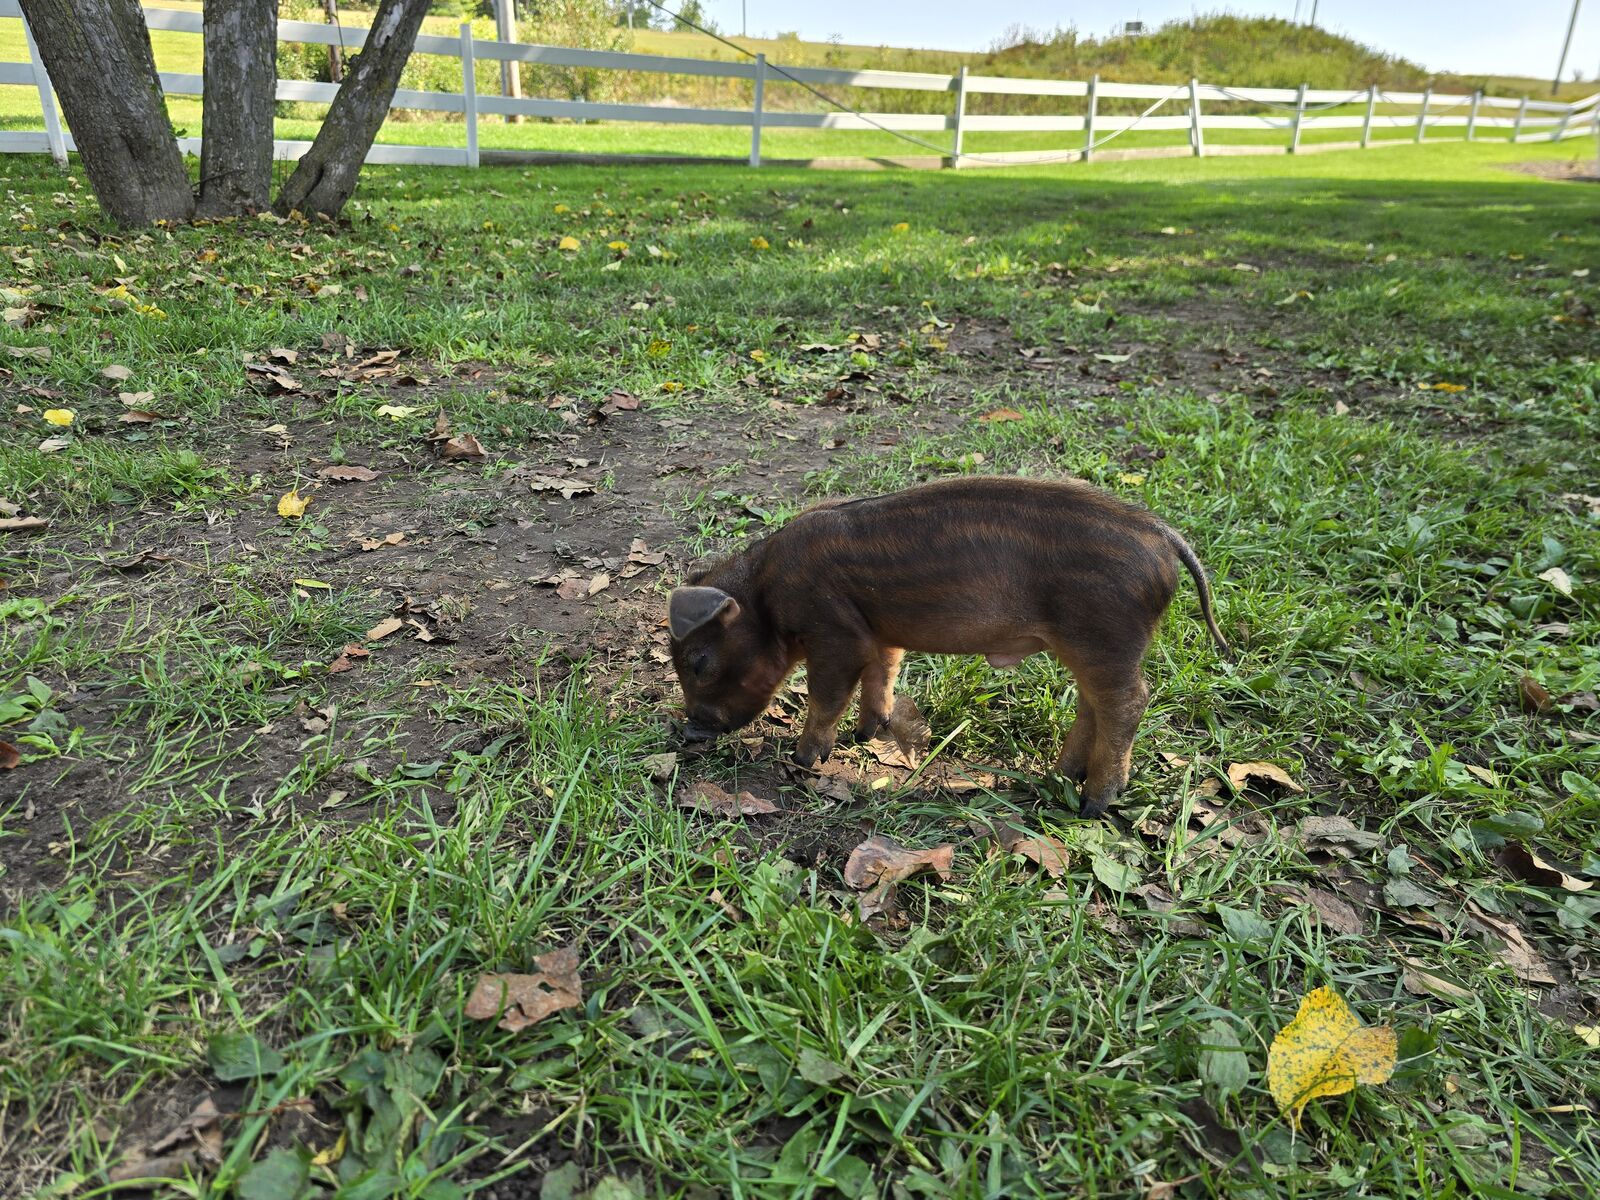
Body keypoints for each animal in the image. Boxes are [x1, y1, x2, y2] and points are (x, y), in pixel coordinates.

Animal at [667, 476, 1229, 818]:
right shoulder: (877, 633)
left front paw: (805, 759)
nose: (690, 731)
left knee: (1128, 701)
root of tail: (1162, 536)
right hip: (1089, 645)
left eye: (699, 662)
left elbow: (827, 694)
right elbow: (884, 673)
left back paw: (1095, 803)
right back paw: (1059, 776)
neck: (765, 595)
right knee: (1094, 705)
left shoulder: (835, 634)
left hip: (1106, 636)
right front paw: (867, 734)